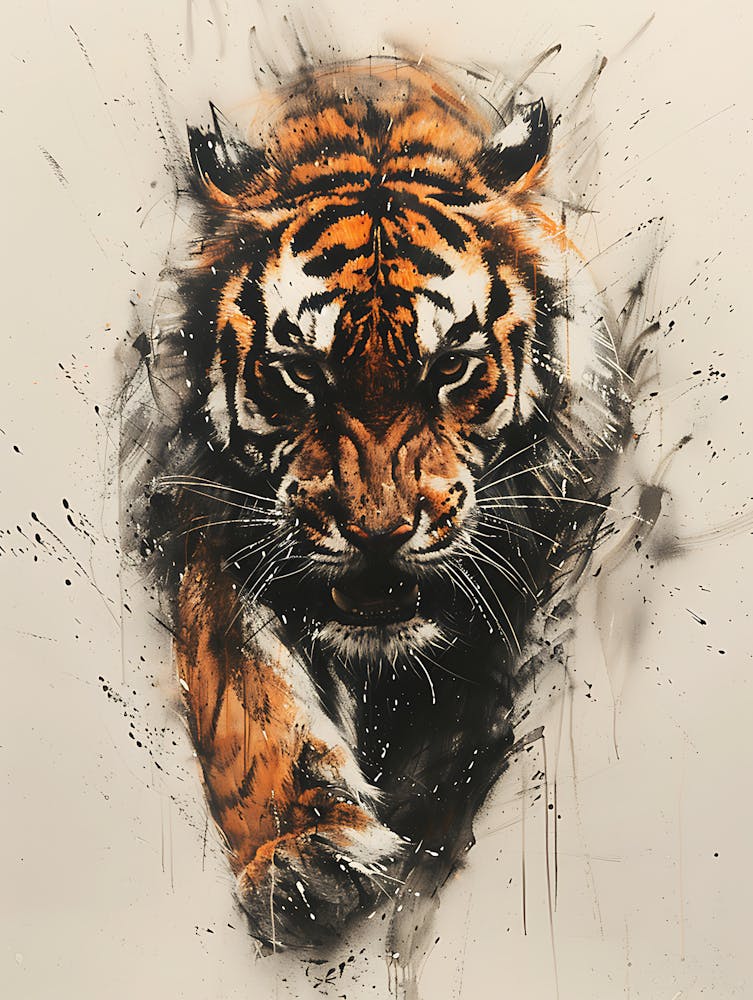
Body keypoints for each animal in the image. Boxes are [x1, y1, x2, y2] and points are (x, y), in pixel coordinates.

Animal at [125, 58, 633, 953]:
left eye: (451, 368)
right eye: (301, 374)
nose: (377, 534)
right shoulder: (214, 532)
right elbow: (253, 698)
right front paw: (306, 855)